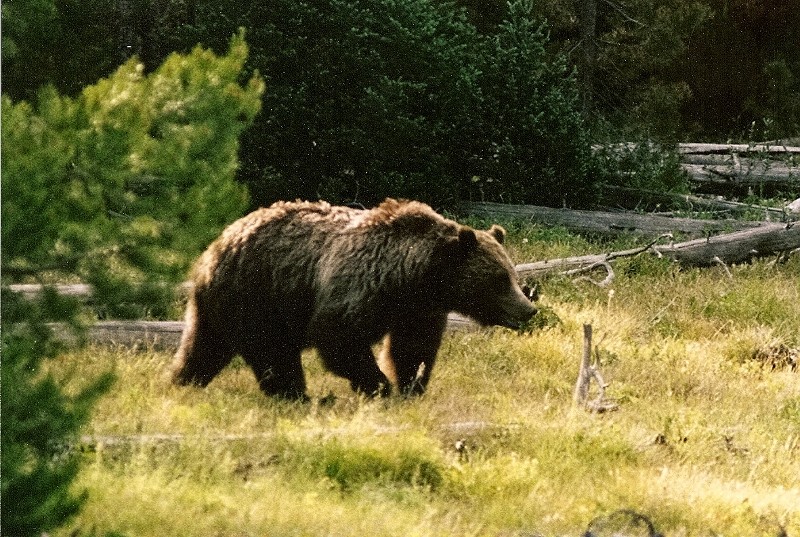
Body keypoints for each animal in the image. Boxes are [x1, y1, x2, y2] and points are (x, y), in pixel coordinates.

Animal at [170, 198, 536, 400]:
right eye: (499, 280)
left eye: (512, 275)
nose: (528, 309)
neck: (414, 277)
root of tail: (216, 245)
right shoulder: (359, 287)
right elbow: (339, 337)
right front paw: (379, 386)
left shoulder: (419, 309)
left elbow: (412, 350)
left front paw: (411, 387)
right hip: (258, 295)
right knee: (273, 353)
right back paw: (296, 395)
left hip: (229, 303)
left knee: (204, 346)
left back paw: (181, 380)